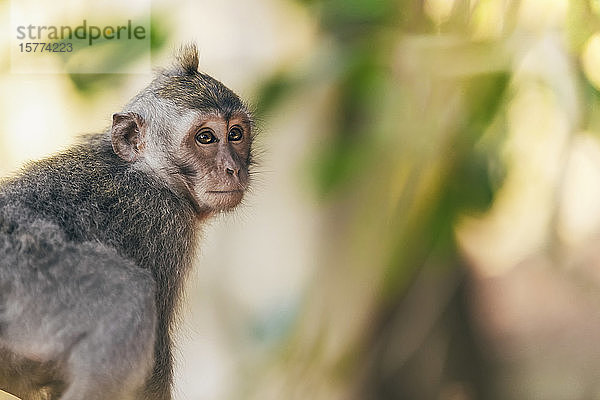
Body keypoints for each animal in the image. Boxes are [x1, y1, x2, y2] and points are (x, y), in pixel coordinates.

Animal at [0, 44, 255, 400]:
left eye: (235, 135)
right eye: (205, 137)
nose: (234, 168)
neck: (149, 172)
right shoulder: (165, 224)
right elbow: (155, 361)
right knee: (127, 294)